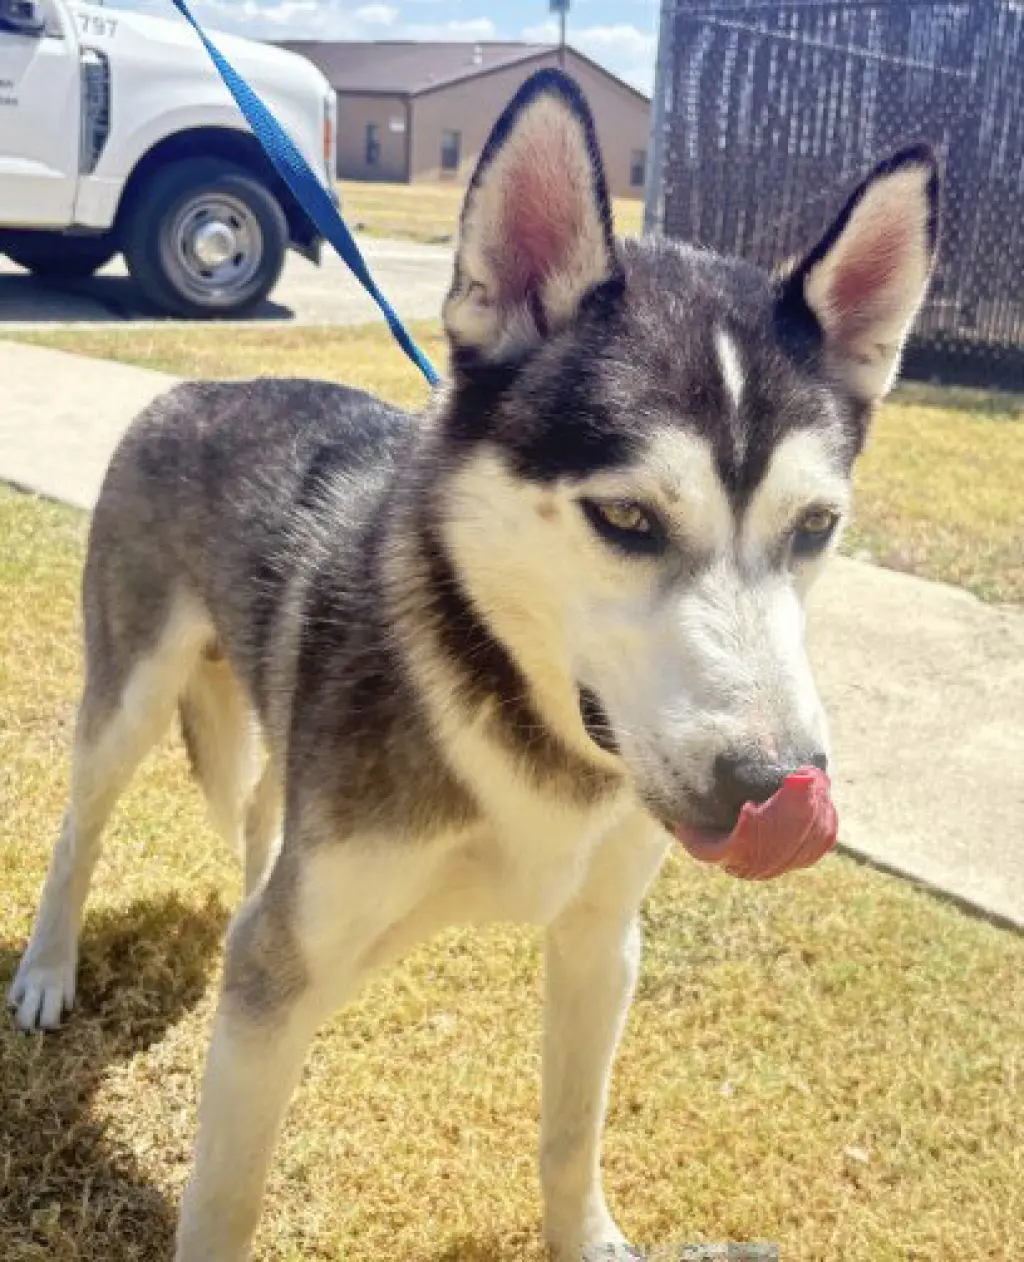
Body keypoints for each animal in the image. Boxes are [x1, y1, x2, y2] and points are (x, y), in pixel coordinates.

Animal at [9, 69, 938, 1260]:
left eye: (815, 527)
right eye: (625, 517)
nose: (775, 788)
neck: (522, 717)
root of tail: (197, 388)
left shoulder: (599, 941)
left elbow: (570, 1137)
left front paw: (584, 1238)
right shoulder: (277, 977)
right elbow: (223, 1201)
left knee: (264, 801)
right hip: (127, 697)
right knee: (81, 829)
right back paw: (47, 969)